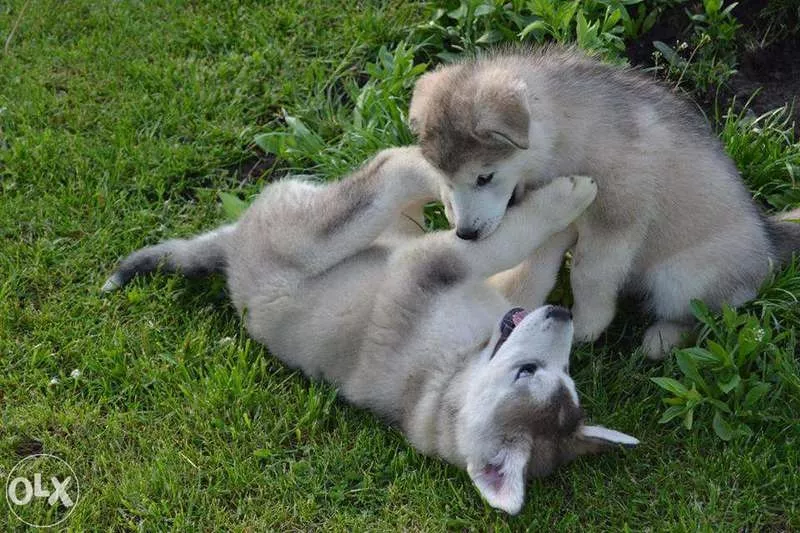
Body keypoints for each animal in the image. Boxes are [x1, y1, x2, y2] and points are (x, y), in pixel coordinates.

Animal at [410, 47, 796, 360]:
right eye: (445, 180)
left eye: (484, 177)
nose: (465, 234)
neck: (567, 134)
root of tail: (769, 239)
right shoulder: (557, 215)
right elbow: (535, 260)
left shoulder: (618, 215)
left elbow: (588, 273)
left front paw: (586, 326)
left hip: (681, 277)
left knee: (709, 315)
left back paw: (662, 339)